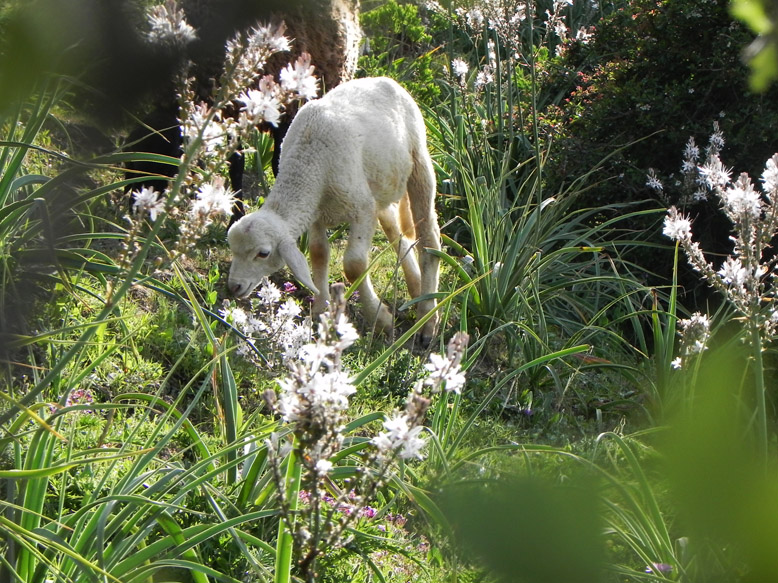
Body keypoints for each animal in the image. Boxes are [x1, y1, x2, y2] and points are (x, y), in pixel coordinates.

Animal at [227, 77, 440, 342]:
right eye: (232, 248)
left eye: (263, 253)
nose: (233, 287)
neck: (307, 165)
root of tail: (384, 80)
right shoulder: (315, 214)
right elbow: (318, 253)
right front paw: (321, 309)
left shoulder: (361, 208)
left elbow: (354, 265)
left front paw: (380, 318)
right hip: (380, 185)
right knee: (396, 232)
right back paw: (416, 287)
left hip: (418, 161)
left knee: (429, 239)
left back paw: (427, 320)